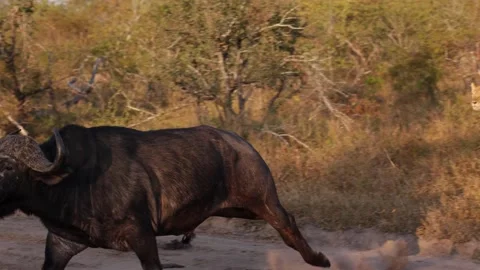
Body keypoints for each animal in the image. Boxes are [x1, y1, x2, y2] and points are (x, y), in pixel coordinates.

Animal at [0, 125, 330, 270]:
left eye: (7, 167)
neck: (72, 179)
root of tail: (242, 144)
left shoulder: (142, 235)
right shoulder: (61, 243)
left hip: (262, 199)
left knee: (287, 223)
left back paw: (320, 259)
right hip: (235, 209)